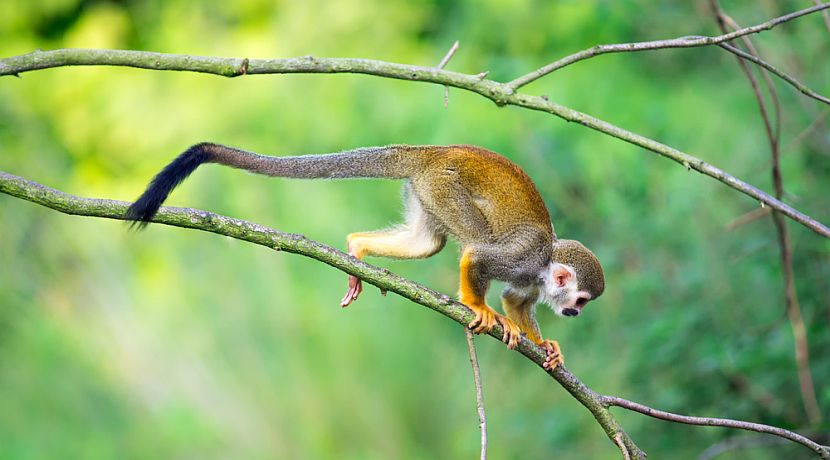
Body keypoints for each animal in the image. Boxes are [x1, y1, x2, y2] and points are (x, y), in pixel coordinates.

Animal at [126, 143, 605, 370]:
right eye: (581, 300)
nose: (576, 314)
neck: (544, 265)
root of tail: (433, 151)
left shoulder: (531, 279)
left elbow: (516, 299)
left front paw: (545, 345)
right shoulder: (524, 258)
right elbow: (479, 260)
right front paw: (479, 307)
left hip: (426, 190)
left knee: (428, 242)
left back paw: (357, 247)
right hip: (444, 185)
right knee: (470, 240)